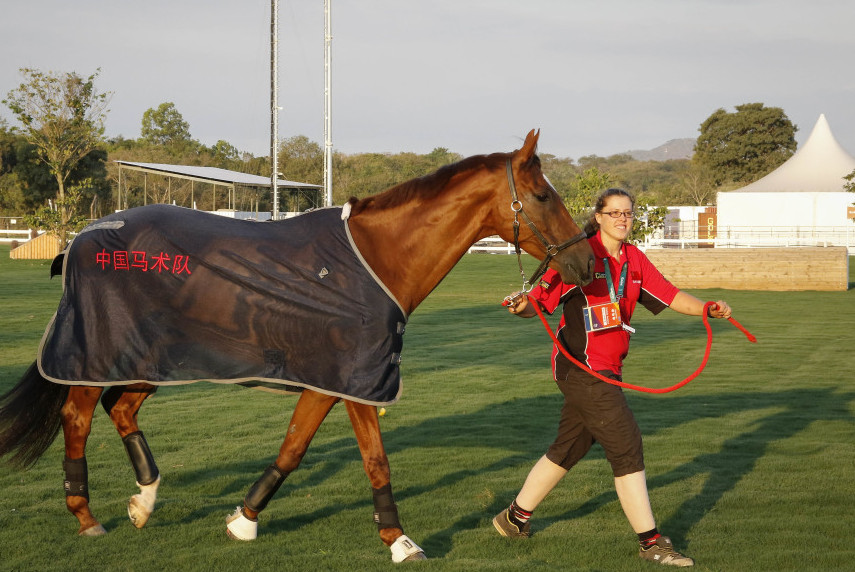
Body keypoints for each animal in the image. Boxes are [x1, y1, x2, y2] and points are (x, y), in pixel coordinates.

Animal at [0, 130, 596, 564]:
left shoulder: (327, 382)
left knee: (120, 408)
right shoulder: (356, 380)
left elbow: (293, 447)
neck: (374, 259)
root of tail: (85, 233)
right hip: (97, 356)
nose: (586, 262)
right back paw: (86, 515)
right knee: (78, 416)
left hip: (155, 360)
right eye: (543, 195)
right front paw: (400, 541)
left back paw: (143, 503)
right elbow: (375, 459)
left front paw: (244, 520)